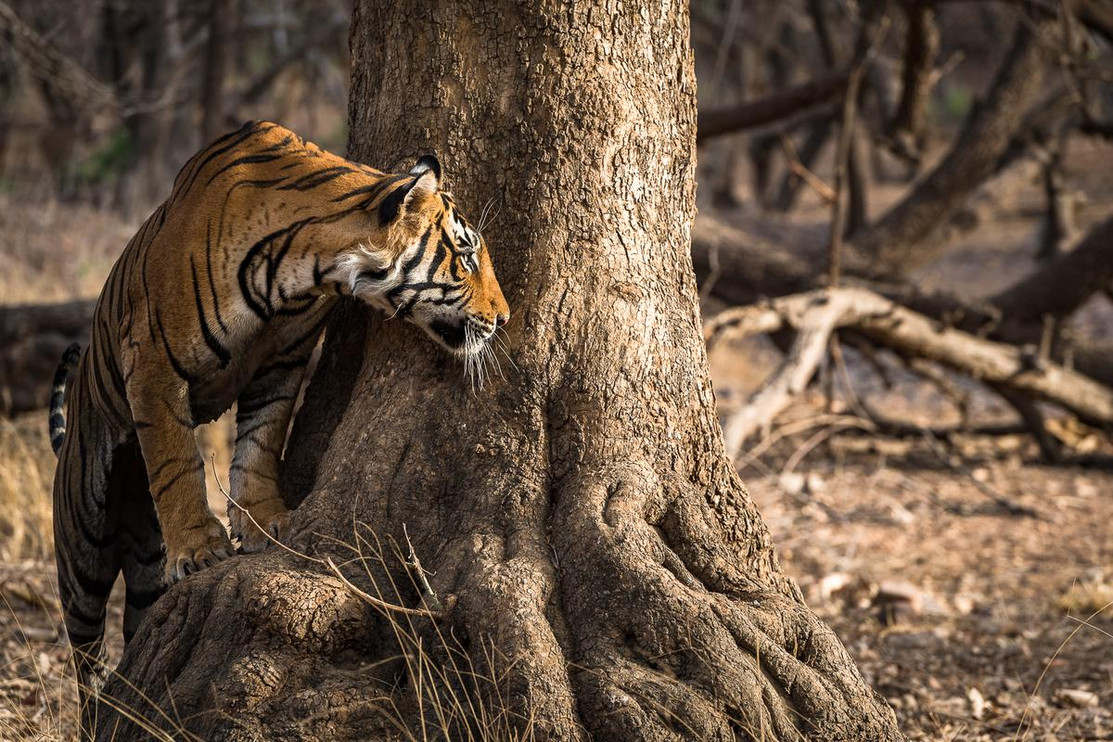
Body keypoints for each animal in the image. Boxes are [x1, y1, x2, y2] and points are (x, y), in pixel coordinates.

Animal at [47, 120, 510, 726]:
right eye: (467, 256)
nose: (506, 318)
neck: (310, 268)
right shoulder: (152, 360)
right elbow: (176, 460)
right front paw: (201, 548)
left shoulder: (284, 360)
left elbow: (260, 442)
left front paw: (266, 523)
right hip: (82, 545)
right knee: (85, 652)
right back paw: (99, 711)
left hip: (142, 560)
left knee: (140, 622)